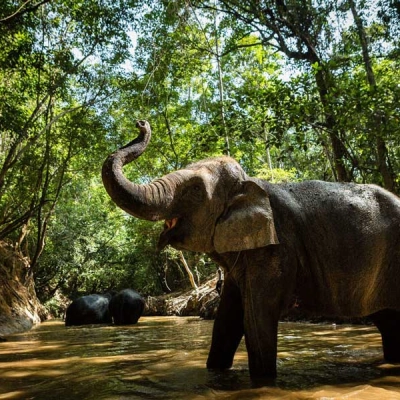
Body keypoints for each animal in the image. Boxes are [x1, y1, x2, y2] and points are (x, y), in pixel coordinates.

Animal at [101, 121, 400, 382]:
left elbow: (256, 319)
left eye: (196, 190)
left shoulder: (276, 249)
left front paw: (263, 381)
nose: (141, 123)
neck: (250, 183)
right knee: (388, 322)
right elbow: (226, 321)